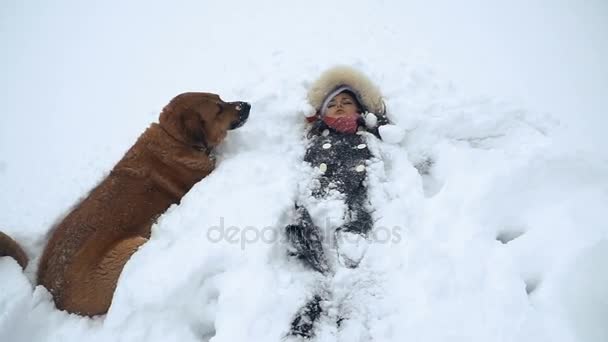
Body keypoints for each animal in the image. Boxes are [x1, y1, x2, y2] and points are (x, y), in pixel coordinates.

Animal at [0, 92, 249, 316]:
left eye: (221, 99)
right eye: (218, 109)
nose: (246, 104)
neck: (173, 138)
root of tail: (51, 292)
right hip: (130, 247)